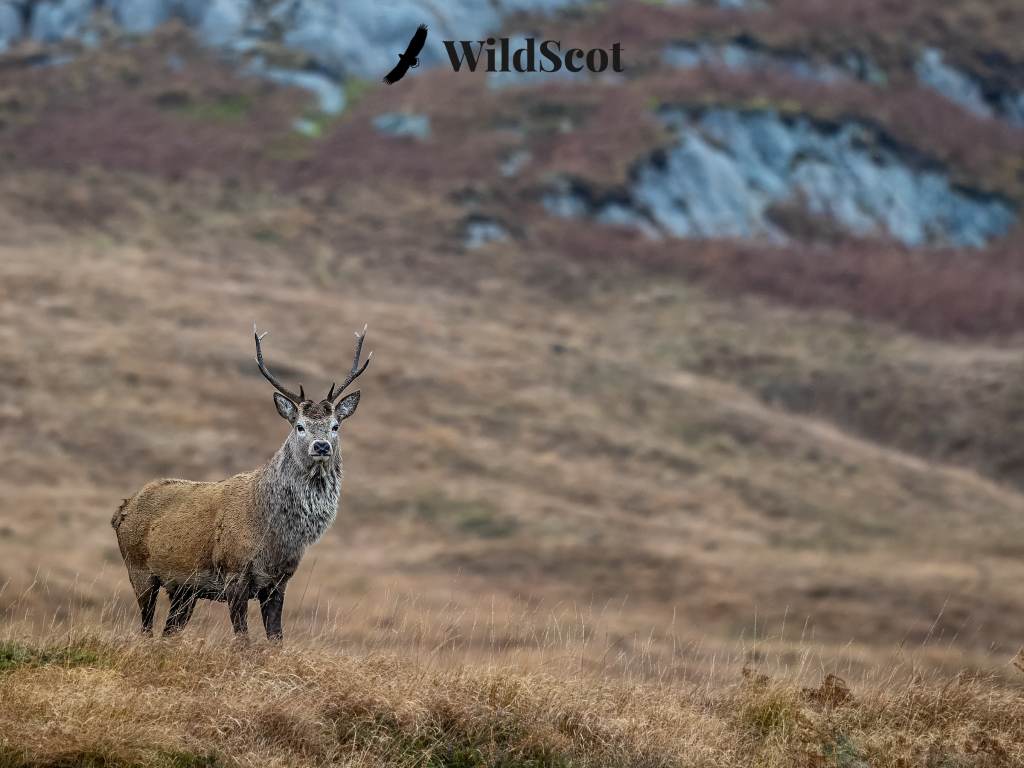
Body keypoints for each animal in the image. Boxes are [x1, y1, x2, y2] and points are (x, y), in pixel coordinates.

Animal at [112, 323, 371, 643]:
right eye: (299, 426)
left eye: (335, 426)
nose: (321, 446)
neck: (275, 536)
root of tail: (120, 510)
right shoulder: (234, 573)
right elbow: (243, 641)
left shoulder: (278, 582)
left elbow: (276, 639)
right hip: (139, 570)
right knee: (146, 629)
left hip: (184, 590)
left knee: (168, 632)